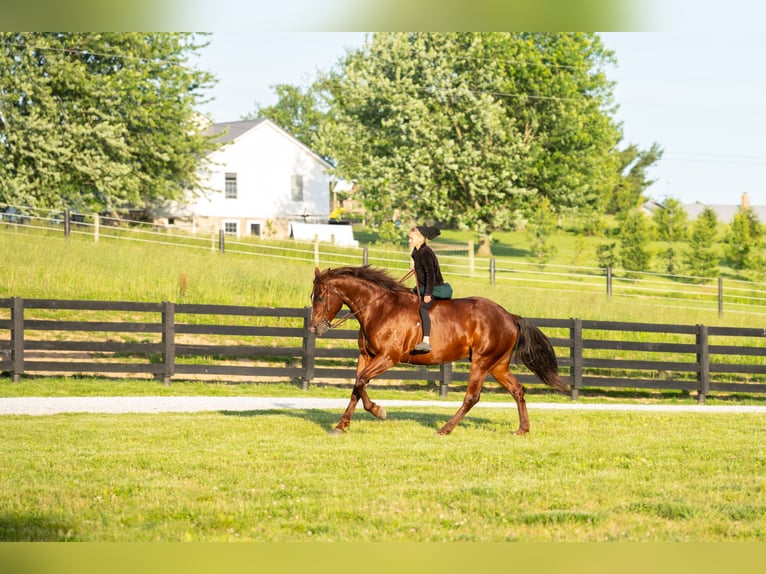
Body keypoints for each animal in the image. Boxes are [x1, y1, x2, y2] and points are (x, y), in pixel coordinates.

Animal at [309, 265, 569, 436]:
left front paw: (379, 411)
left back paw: (445, 429)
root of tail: (508, 316)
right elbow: (357, 386)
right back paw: (522, 429)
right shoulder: (367, 356)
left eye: (320, 297)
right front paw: (341, 426)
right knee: (517, 390)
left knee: (472, 397)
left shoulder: (388, 357)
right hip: (497, 365)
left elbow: (361, 381)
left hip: (482, 362)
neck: (379, 308)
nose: (314, 328)